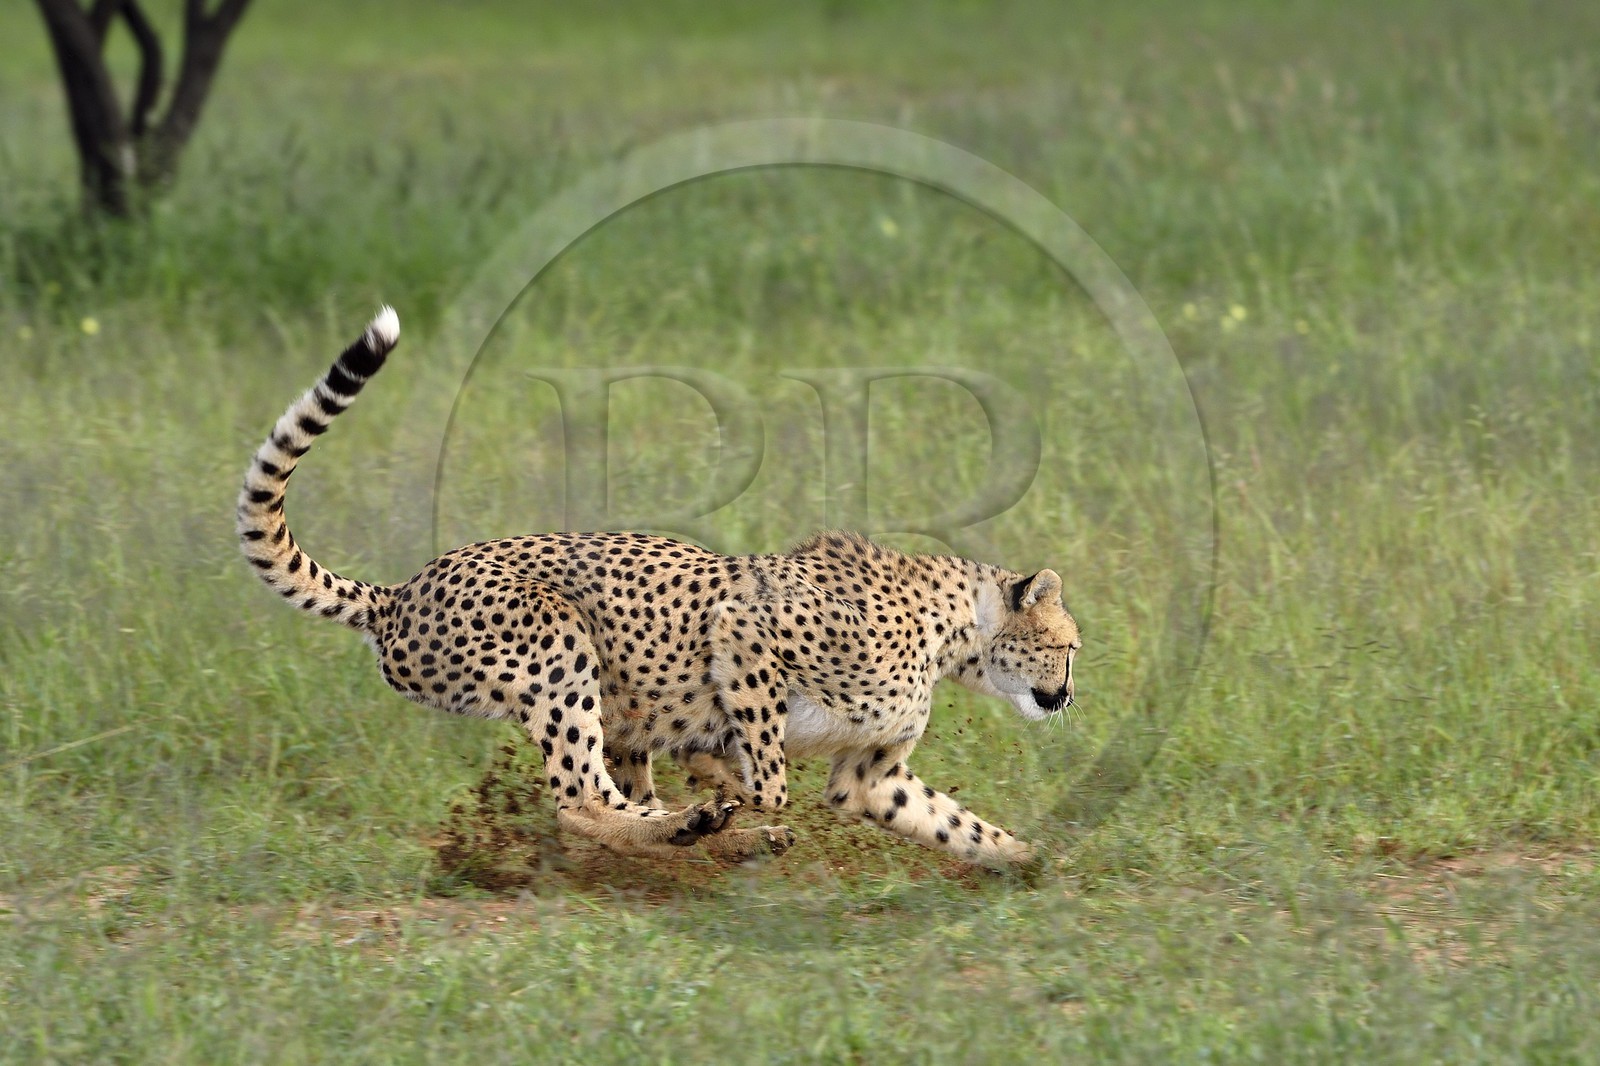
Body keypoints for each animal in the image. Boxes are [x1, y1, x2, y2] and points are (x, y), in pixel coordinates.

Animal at [238, 307, 1080, 870]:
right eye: (1067, 646)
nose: (1069, 693)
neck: (954, 633)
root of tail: (401, 591)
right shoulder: (744, 633)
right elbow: (766, 770)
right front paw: (730, 789)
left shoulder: (869, 775)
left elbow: (949, 820)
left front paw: (1029, 861)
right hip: (556, 644)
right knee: (581, 802)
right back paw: (694, 827)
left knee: (615, 794)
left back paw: (701, 831)